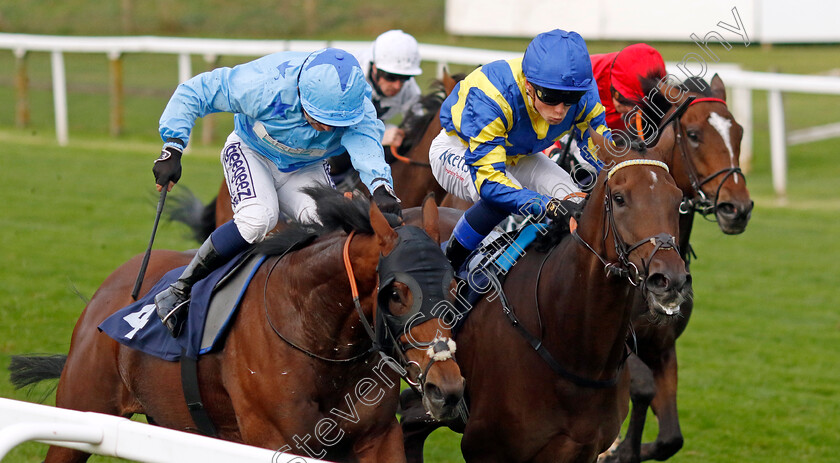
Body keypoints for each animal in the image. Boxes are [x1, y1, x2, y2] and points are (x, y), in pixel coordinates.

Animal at [8, 189, 466, 463]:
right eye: (397, 293)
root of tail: (108, 292)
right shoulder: (277, 442)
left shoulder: (377, 438)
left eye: (453, 284)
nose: (446, 389)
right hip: (81, 412)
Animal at [596, 72, 756, 463]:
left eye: (739, 131)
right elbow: (640, 390)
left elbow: (671, 438)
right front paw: (616, 449)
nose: (737, 209)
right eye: (694, 135)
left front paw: (624, 450)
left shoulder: (663, 346)